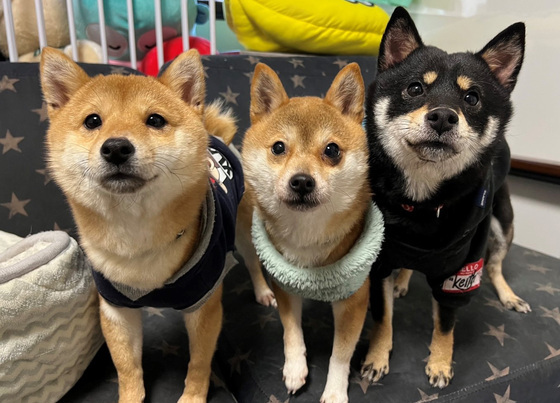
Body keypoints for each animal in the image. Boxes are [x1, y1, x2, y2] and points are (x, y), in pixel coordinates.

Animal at [40, 48, 243, 403]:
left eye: (155, 120)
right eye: (93, 121)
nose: (116, 147)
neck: (136, 239)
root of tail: (214, 134)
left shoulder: (204, 306)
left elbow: (199, 363)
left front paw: (192, 397)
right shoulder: (116, 309)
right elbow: (127, 367)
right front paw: (131, 397)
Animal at [236, 62, 384, 402]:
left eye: (332, 150)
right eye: (278, 147)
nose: (302, 181)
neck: (307, 235)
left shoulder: (353, 301)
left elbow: (340, 354)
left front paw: (335, 391)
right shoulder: (286, 287)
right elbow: (291, 332)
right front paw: (294, 369)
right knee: (252, 263)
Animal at [360, 7, 530, 389]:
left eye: (472, 98)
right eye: (415, 88)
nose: (442, 115)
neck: (422, 205)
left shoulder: (459, 273)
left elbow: (445, 324)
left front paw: (439, 363)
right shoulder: (380, 262)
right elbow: (382, 318)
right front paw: (377, 357)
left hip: (502, 223)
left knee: (495, 265)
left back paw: (508, 295)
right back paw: (404, 282)